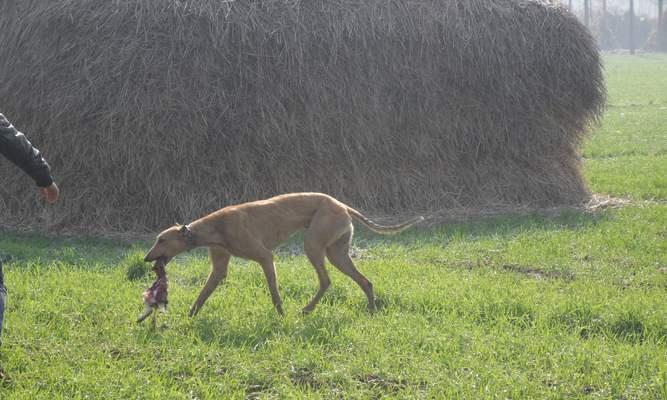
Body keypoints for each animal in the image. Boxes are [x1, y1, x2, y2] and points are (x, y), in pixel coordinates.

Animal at [144, 192, 422, 318]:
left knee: (326, 281)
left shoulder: (266, 257)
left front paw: (281, 316)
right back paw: (371, 310)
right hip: (337, 254)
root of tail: (341, 204)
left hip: (314, 246)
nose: (147, 259)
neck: (216, 227)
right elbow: (202, 295)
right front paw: (189, 316)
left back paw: (307, 310)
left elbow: (274, 292)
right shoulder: (219, 268)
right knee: (365, 281)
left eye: (161, 240)